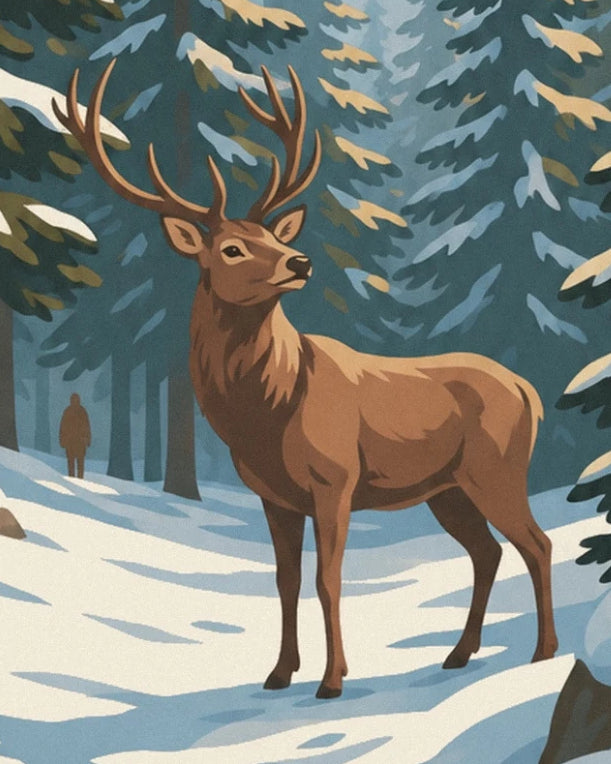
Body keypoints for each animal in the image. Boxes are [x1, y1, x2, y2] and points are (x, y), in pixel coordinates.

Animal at [53, 58, 558, 699]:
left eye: (276, 236)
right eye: (234, 248)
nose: (300, 262)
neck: (266, 411)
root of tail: (530, 391)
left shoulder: (335, 478)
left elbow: (327, 580)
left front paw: (332, 679)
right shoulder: (273, 494)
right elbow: (285, 581)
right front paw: (278, 672)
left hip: (496, 469)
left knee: (536, 543)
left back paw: (543, 651)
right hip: (447, 488)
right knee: (489, 552)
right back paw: (459, 653)